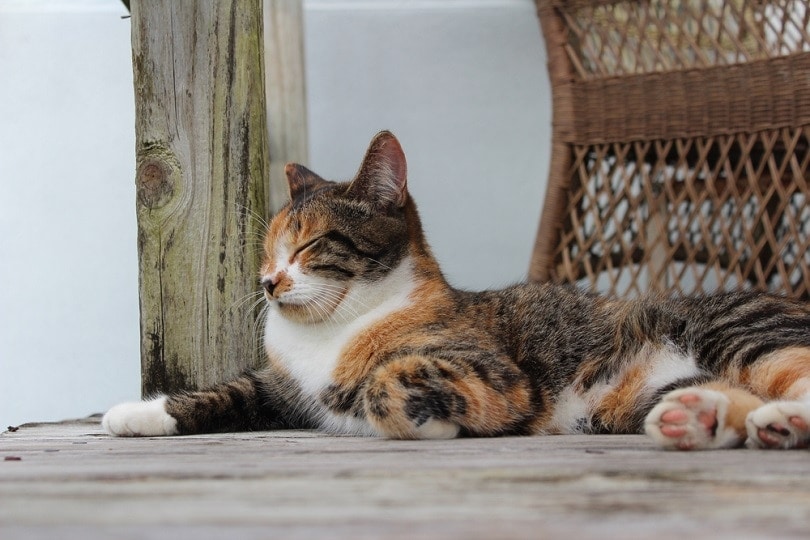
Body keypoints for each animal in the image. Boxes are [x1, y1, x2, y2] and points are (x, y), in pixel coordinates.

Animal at [101, 132, 808, 452]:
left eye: (310, 245)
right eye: (269, 250)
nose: (269, 282)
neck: (334, 328)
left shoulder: (494, 370)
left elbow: (386, 382)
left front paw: (430, 418)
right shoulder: (279, 387)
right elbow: (225, 391)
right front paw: (138, 413)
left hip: (739, 329)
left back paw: (779, 420)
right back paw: (699, 418)